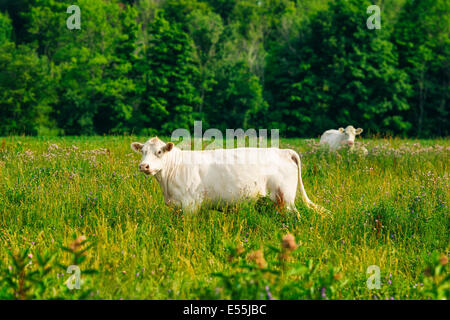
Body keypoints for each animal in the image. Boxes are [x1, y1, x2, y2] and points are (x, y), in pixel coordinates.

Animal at [132, 136, 328, 216]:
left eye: (159, 152)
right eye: (142, 151)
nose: (144, 166)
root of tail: (284, 151)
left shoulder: (190, 204)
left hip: (285, 198)